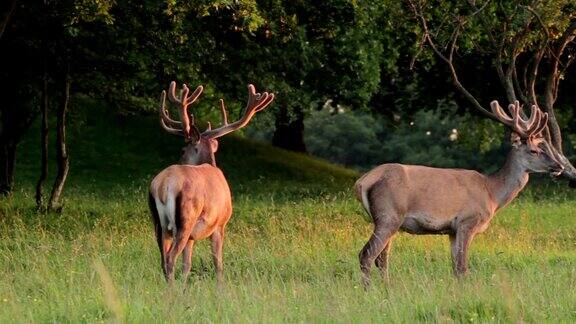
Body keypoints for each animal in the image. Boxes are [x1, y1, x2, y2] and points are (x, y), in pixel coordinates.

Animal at [148, 81, 274, 284]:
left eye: (182, 150)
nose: (180, 157)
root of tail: (163, 185)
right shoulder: (220, 223)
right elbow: (218, 263)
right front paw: (220, 287)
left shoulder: (193, 236)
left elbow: (187, 265)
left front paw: (185, 286)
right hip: (186, 218)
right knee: (170, 258)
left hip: (159, 223)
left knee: (163, 258)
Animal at [356, 100, 576, 286]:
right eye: (534, 151)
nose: (559, 166)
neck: (491, 193)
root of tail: (363, 181)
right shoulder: (467, 221)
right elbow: (462, 267)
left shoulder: (452, 230)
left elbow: (455, 267)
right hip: (389, 214)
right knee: (367, 255)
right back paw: (370, 290)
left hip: (387, 220)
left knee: (382, 258)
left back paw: (387, 287)